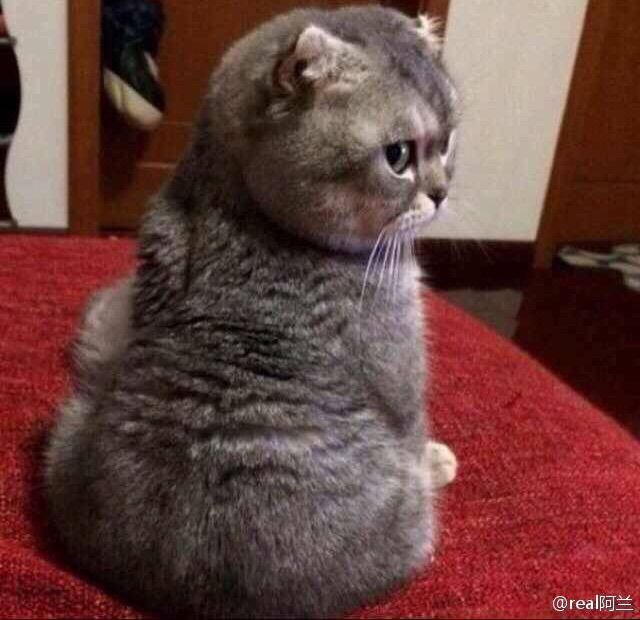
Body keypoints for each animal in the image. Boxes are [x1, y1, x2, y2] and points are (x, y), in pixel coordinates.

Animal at [45, 6, 459, 618]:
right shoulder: (402, 383)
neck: (239, 210)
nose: (442, 192)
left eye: (449, 140)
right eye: (399, 156)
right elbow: (414, 434)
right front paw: (436, 460)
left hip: (72, 418)